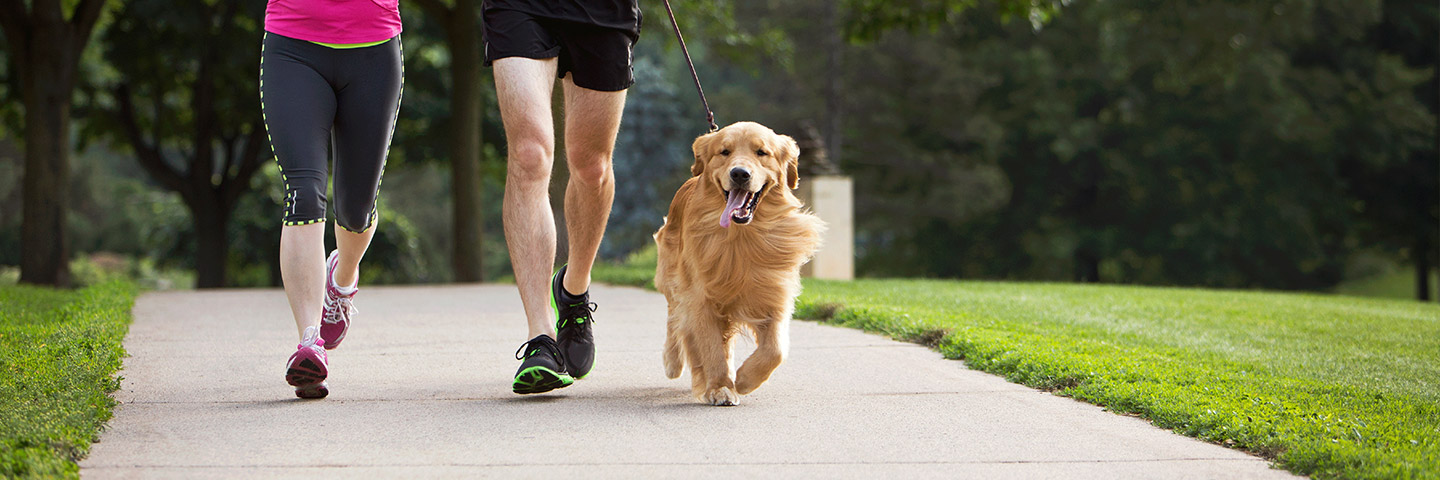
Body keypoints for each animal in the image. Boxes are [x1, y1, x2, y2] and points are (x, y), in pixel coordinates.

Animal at [653, 120, 823, 403]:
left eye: (761, 152)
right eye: (724, 152)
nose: (740, 174)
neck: (743, 237)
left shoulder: (773, 294)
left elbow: (776, 349)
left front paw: (744, 379)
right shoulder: (700, 297)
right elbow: (710, 346)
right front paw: (719, 387)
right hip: (672, 275)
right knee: (673, 318)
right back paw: (673, 362)